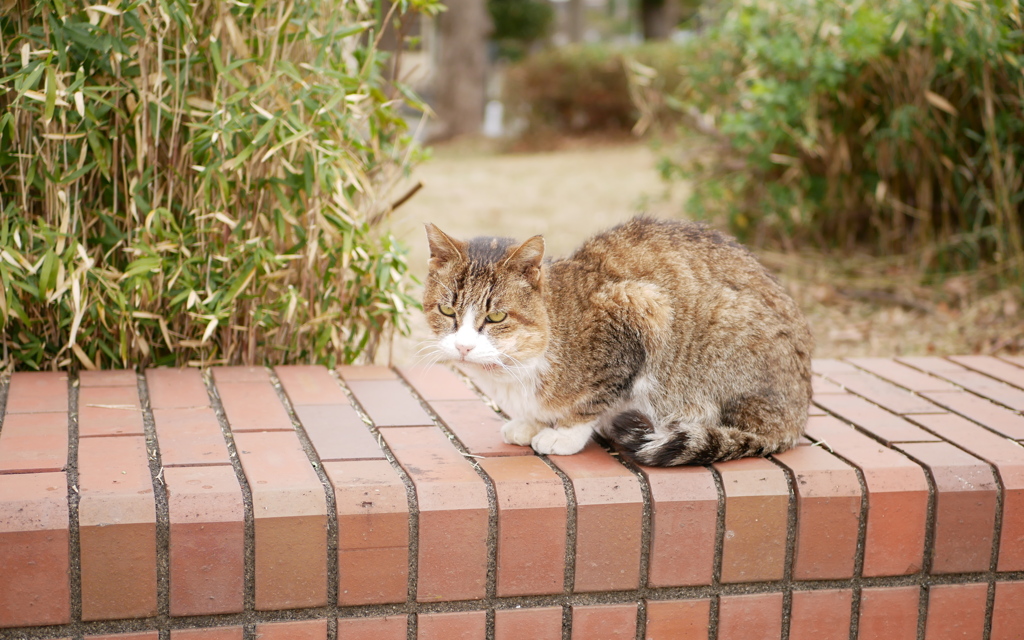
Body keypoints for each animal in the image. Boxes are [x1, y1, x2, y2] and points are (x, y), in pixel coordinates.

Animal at [419, 216, 811, 464]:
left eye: (496, 317)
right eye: (447, 310)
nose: (463, 346)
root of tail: (797, 419)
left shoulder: (640, 308)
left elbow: (596, 399)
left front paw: (564, 434)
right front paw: (533, 422)